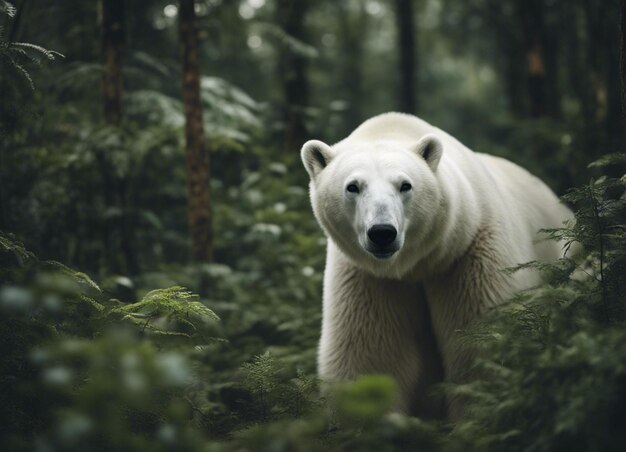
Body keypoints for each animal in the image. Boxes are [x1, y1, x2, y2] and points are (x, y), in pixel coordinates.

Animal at [300, 112, 572, 420]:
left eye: (405, 185)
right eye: (353, 186)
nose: (382, 232)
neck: (417, 265)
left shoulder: (470, 255)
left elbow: (481, 347)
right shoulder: (369, 278)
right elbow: (370, 358)